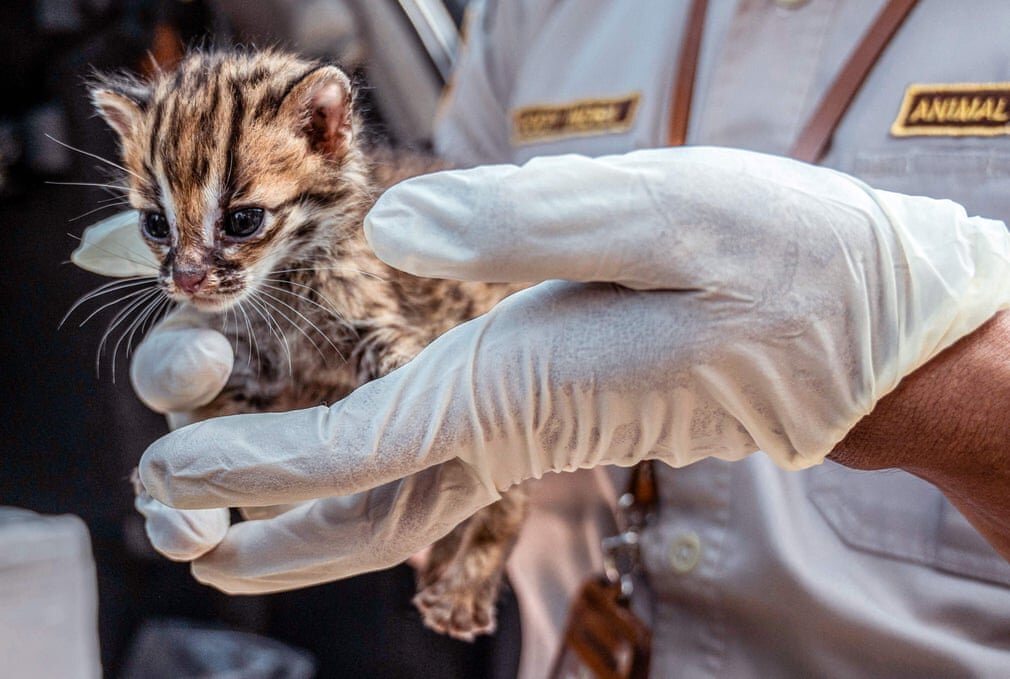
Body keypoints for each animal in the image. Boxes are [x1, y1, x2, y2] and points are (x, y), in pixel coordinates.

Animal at [92, 50, 529, 638]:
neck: (282, 283)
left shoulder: (374, 317)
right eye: (155, 224)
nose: (185, 280)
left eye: (243, 220)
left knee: (512, 501)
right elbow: (219, 414)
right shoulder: (242, 356)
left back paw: (462, 589)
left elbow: (407, 380)